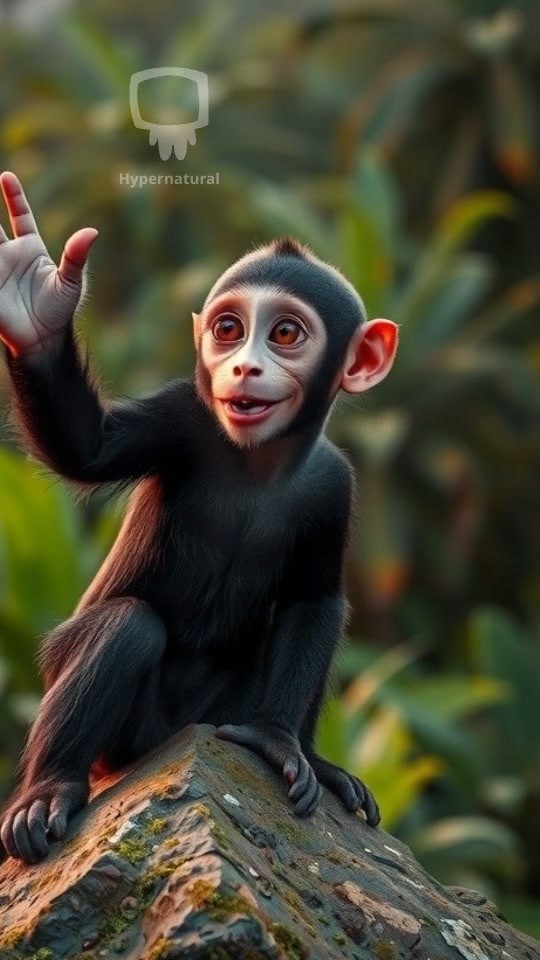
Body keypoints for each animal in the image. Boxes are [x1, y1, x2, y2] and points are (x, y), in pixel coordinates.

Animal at [0, 171, 398, 863]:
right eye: (229, 329)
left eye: (285, 334)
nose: (244, 366)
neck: (257, 463)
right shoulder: (182, 418)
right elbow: (86, 449)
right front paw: (35, 306)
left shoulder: (335, 486)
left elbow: (314, 599)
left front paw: (278, 742)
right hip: (120, 733)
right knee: (128, 627)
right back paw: (49, 791)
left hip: (213, 714)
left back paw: (315, 760)